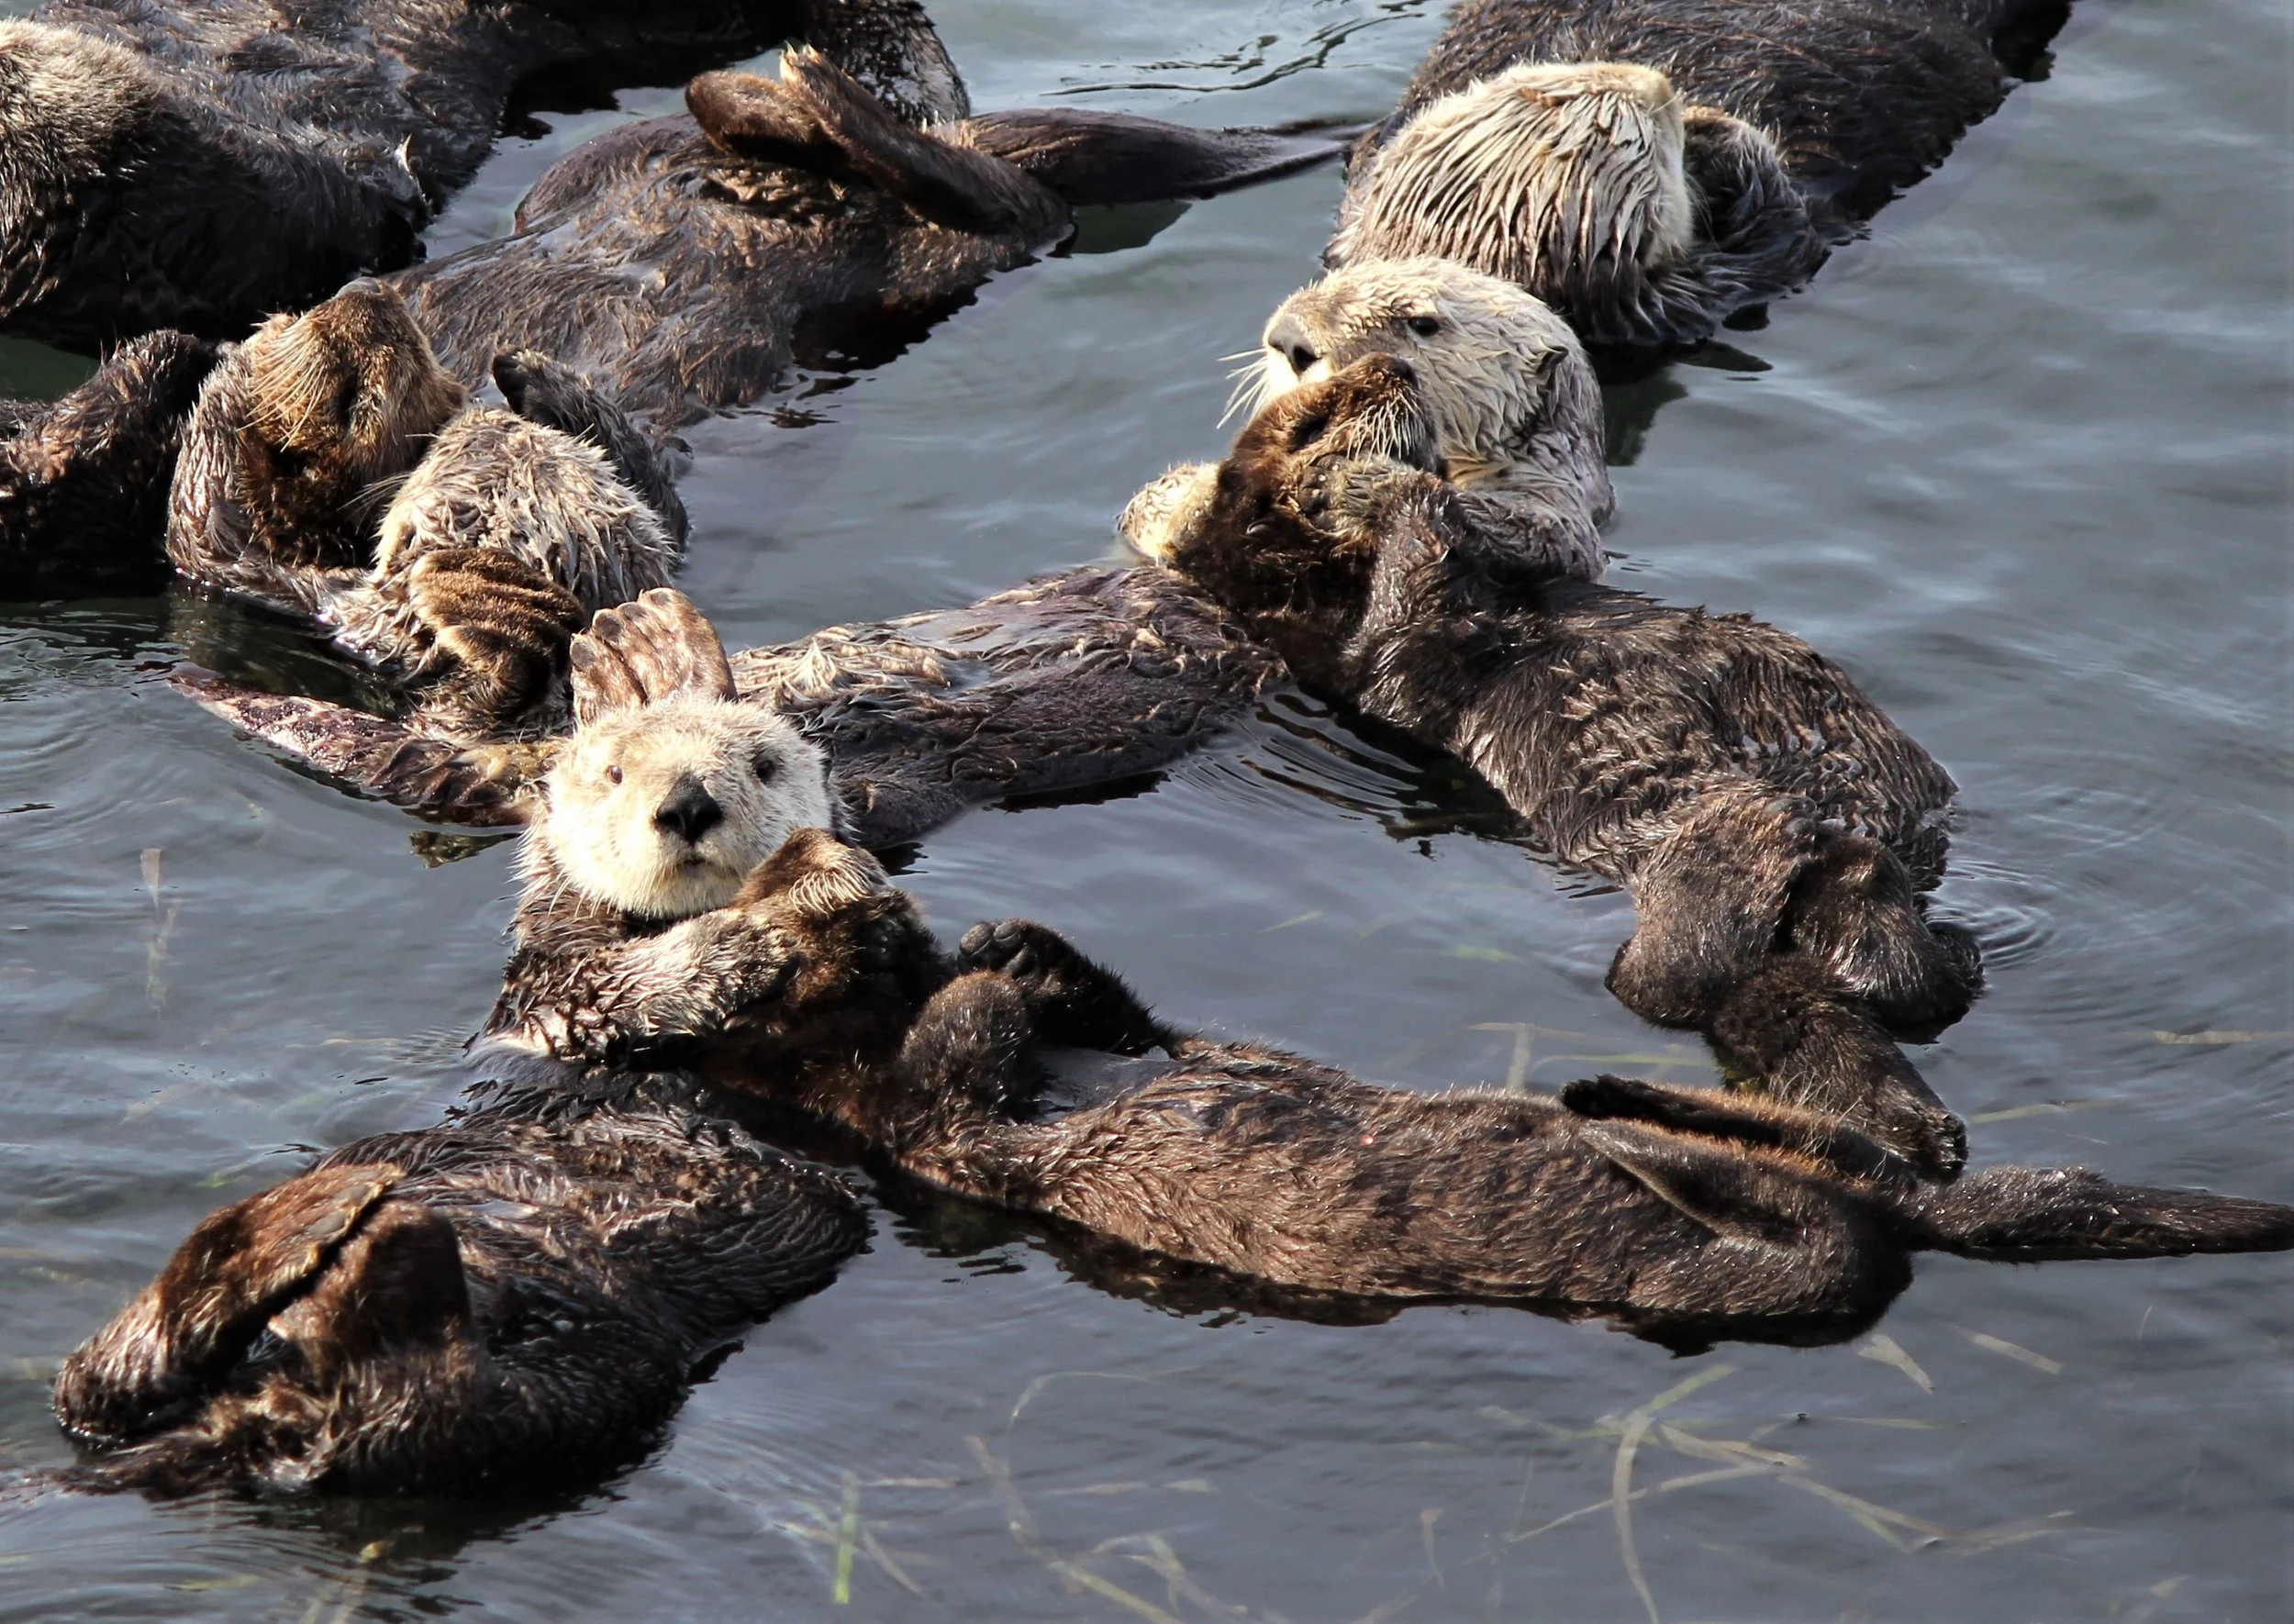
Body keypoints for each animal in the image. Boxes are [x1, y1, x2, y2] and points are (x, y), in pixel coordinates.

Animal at [1121, 258, 1614, 579]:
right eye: (1337, 278)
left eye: (1422, 322)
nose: (1290, 340)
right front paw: (1195, 487)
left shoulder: (1558, 508)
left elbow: (1543, 536)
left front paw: (1353, 485)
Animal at [1145, 352, 1981, 1176]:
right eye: (1317, 417)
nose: (1397, 367)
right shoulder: (1360, 658)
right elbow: (1404, 626)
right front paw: (1372, 486)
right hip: (1665, 907)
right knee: (1674, 977)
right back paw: (1755, 834)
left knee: (1921, 987)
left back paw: (1861, 883)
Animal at [1327, 0, 2074, 346]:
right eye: (1628, 131)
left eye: (1542, 87)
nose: (1657, 83)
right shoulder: (1721, 288)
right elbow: (1781, 227)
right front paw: (1716, 132)